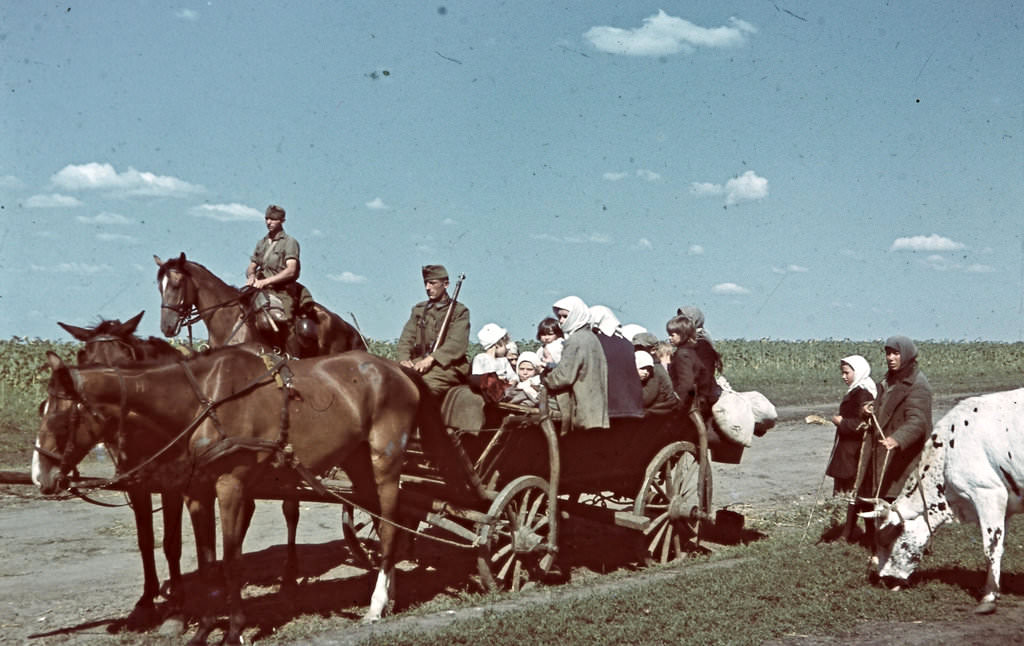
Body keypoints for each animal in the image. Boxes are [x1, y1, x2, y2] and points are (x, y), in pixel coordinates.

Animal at [37, 346, 471, 642]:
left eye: (60, 416)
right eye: (41, 409)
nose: (42, 478)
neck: (204, 399)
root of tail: (398, 369)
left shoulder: (231, 486)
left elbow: (231, 561)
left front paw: (234, 630)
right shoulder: (197, 491)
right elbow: (208, 561)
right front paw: (204, 628)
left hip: (386, 459)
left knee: (390, 524)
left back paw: (377, 604)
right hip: (358, 462)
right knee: (385, 526)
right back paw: (390, 595)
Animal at [860, 386, 1024, 614]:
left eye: (886, 541)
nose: (884, 579)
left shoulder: (988, 493)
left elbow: (991, 549)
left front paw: (989, 597)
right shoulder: (1004, 506)